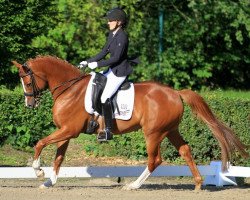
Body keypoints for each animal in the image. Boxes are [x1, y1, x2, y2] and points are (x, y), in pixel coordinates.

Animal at [13, 55, 248, 189]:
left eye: (27, 81)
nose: (29, 104)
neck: (70, 89)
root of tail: (175, 92)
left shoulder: (69, 130)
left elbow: (40, 143)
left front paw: (38, 171)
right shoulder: (65, 131)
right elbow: (59, 157)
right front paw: (49, 181)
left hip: (153, 133)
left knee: (156, 159)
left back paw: (133, 185)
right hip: (171, 130)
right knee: (185, 150)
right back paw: (198, 185)